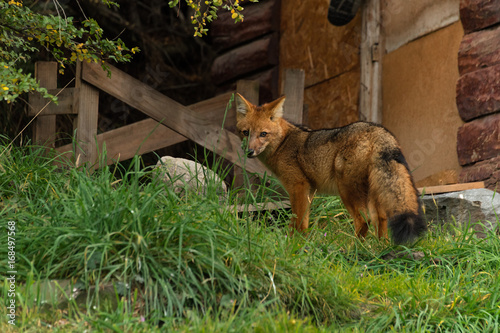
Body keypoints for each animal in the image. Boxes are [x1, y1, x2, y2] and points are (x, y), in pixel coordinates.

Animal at [234, 93, 426, 244]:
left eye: (263, 134)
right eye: (246, 132)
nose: (249, 152)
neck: (283, 143)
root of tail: (377, 129)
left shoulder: (298, 186)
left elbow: (298, 221)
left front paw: (295, 244)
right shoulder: (309, 191)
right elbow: (302, 220)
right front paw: (298, 242)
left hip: (347, 192)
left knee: (364, 220)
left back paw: (353, 249)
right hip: (372, 194)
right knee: (381, 218)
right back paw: (380, 248)